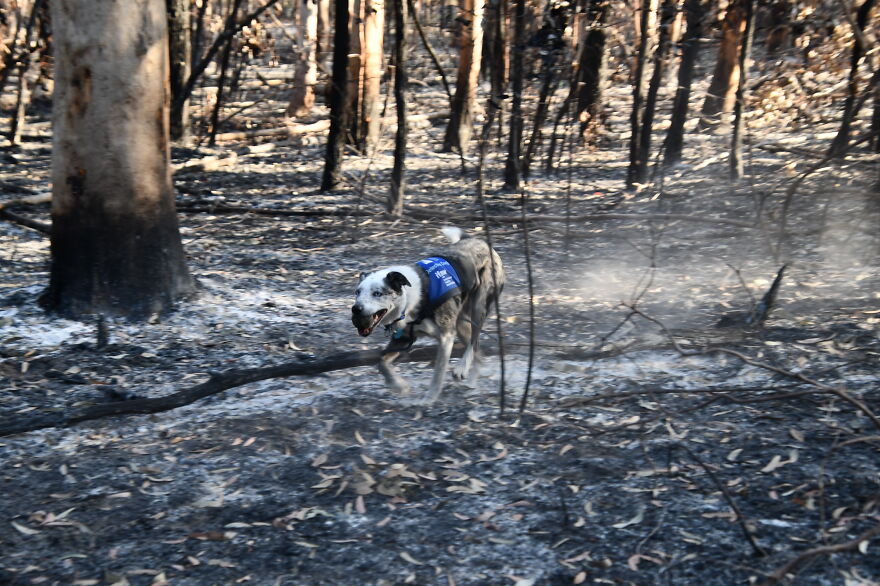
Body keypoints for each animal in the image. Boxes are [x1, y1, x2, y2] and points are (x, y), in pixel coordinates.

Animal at [348, 225, 502, 402]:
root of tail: (477, 241)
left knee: (474, 341)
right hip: (461, 323)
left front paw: (429, 399)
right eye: (357, 292)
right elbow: (381, 363)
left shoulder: (446, 336)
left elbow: (438, 373)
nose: (356, 309)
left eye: (377, 293)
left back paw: (462, 368)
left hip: (478, 307)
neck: (410, 301)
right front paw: (399, 386)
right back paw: (471, 382)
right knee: (478, 351)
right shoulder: (403, 339)